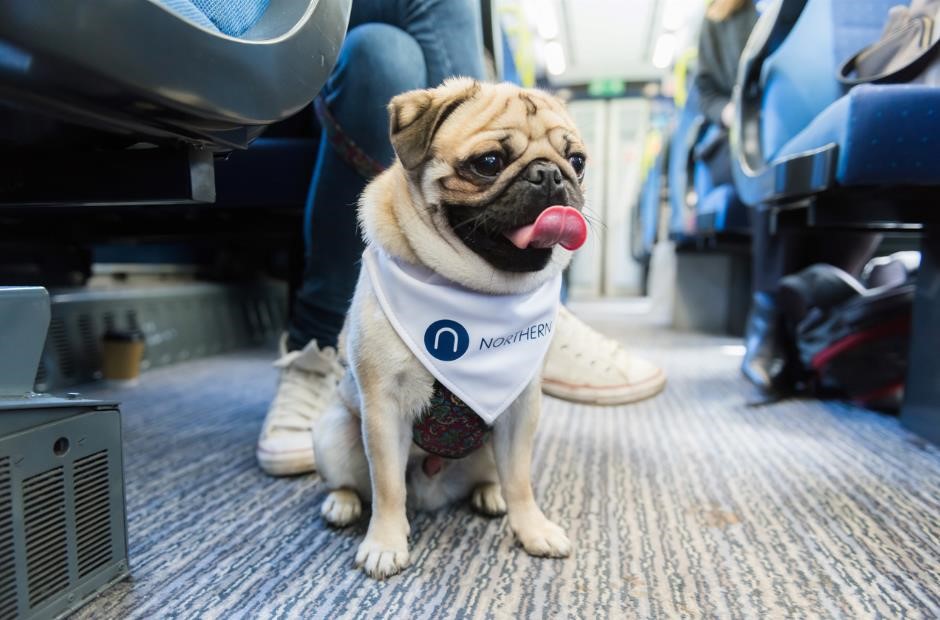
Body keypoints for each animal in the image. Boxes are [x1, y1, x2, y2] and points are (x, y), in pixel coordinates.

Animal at [314, 78, 588, 580]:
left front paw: (532, 529)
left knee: (497, 476)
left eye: (576, 161)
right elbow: (387, 487)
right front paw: (385, 542)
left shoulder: (521, 410)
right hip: (335, 433)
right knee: (355, 483)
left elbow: (521, 479)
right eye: (489, 163)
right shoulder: (383, 409)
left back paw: (490, 494)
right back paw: (341, 504)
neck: (477, 289)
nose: (551, 174)